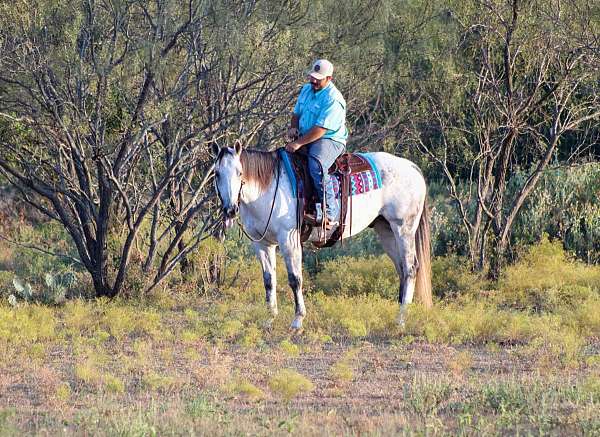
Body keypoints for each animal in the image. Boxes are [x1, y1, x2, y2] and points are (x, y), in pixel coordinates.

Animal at [212, 141, 432, 330]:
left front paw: (297, 321)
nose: (230, 210)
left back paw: (401, 320)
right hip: (385, 230)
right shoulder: (263, 244)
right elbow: (269, 280)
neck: (268, 188)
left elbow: (295, 279)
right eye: (216, 174)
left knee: (410, 268)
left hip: (403, 228)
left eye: (240, 172)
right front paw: (269, 319)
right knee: (402, 269)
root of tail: (413, 167)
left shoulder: (289, 239)